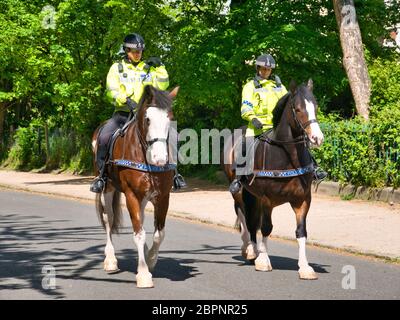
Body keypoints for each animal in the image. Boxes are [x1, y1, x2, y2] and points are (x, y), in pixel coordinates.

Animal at [91, 84, 179, 288]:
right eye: (147, 119)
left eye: (169, 118)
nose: (160, 158)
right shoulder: (131, 195)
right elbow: (138, 234)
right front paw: (144, 273)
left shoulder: (162, 197)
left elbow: (158, 233)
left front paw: (151, 258)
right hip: (108, 188)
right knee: (109, 219)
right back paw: (110, 260)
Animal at [223, 80, 324, 280]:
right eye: (298, 109)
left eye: (315, 107)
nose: (317, 138)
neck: (288, 156)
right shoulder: (267, 200)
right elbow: (266, 227)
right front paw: (263, 260)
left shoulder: (303, 200)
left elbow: (301, 232)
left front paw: (305, 267)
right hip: (239, 192)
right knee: (245, 217)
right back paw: (250, 249)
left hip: (252, 195)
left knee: (251, 221)